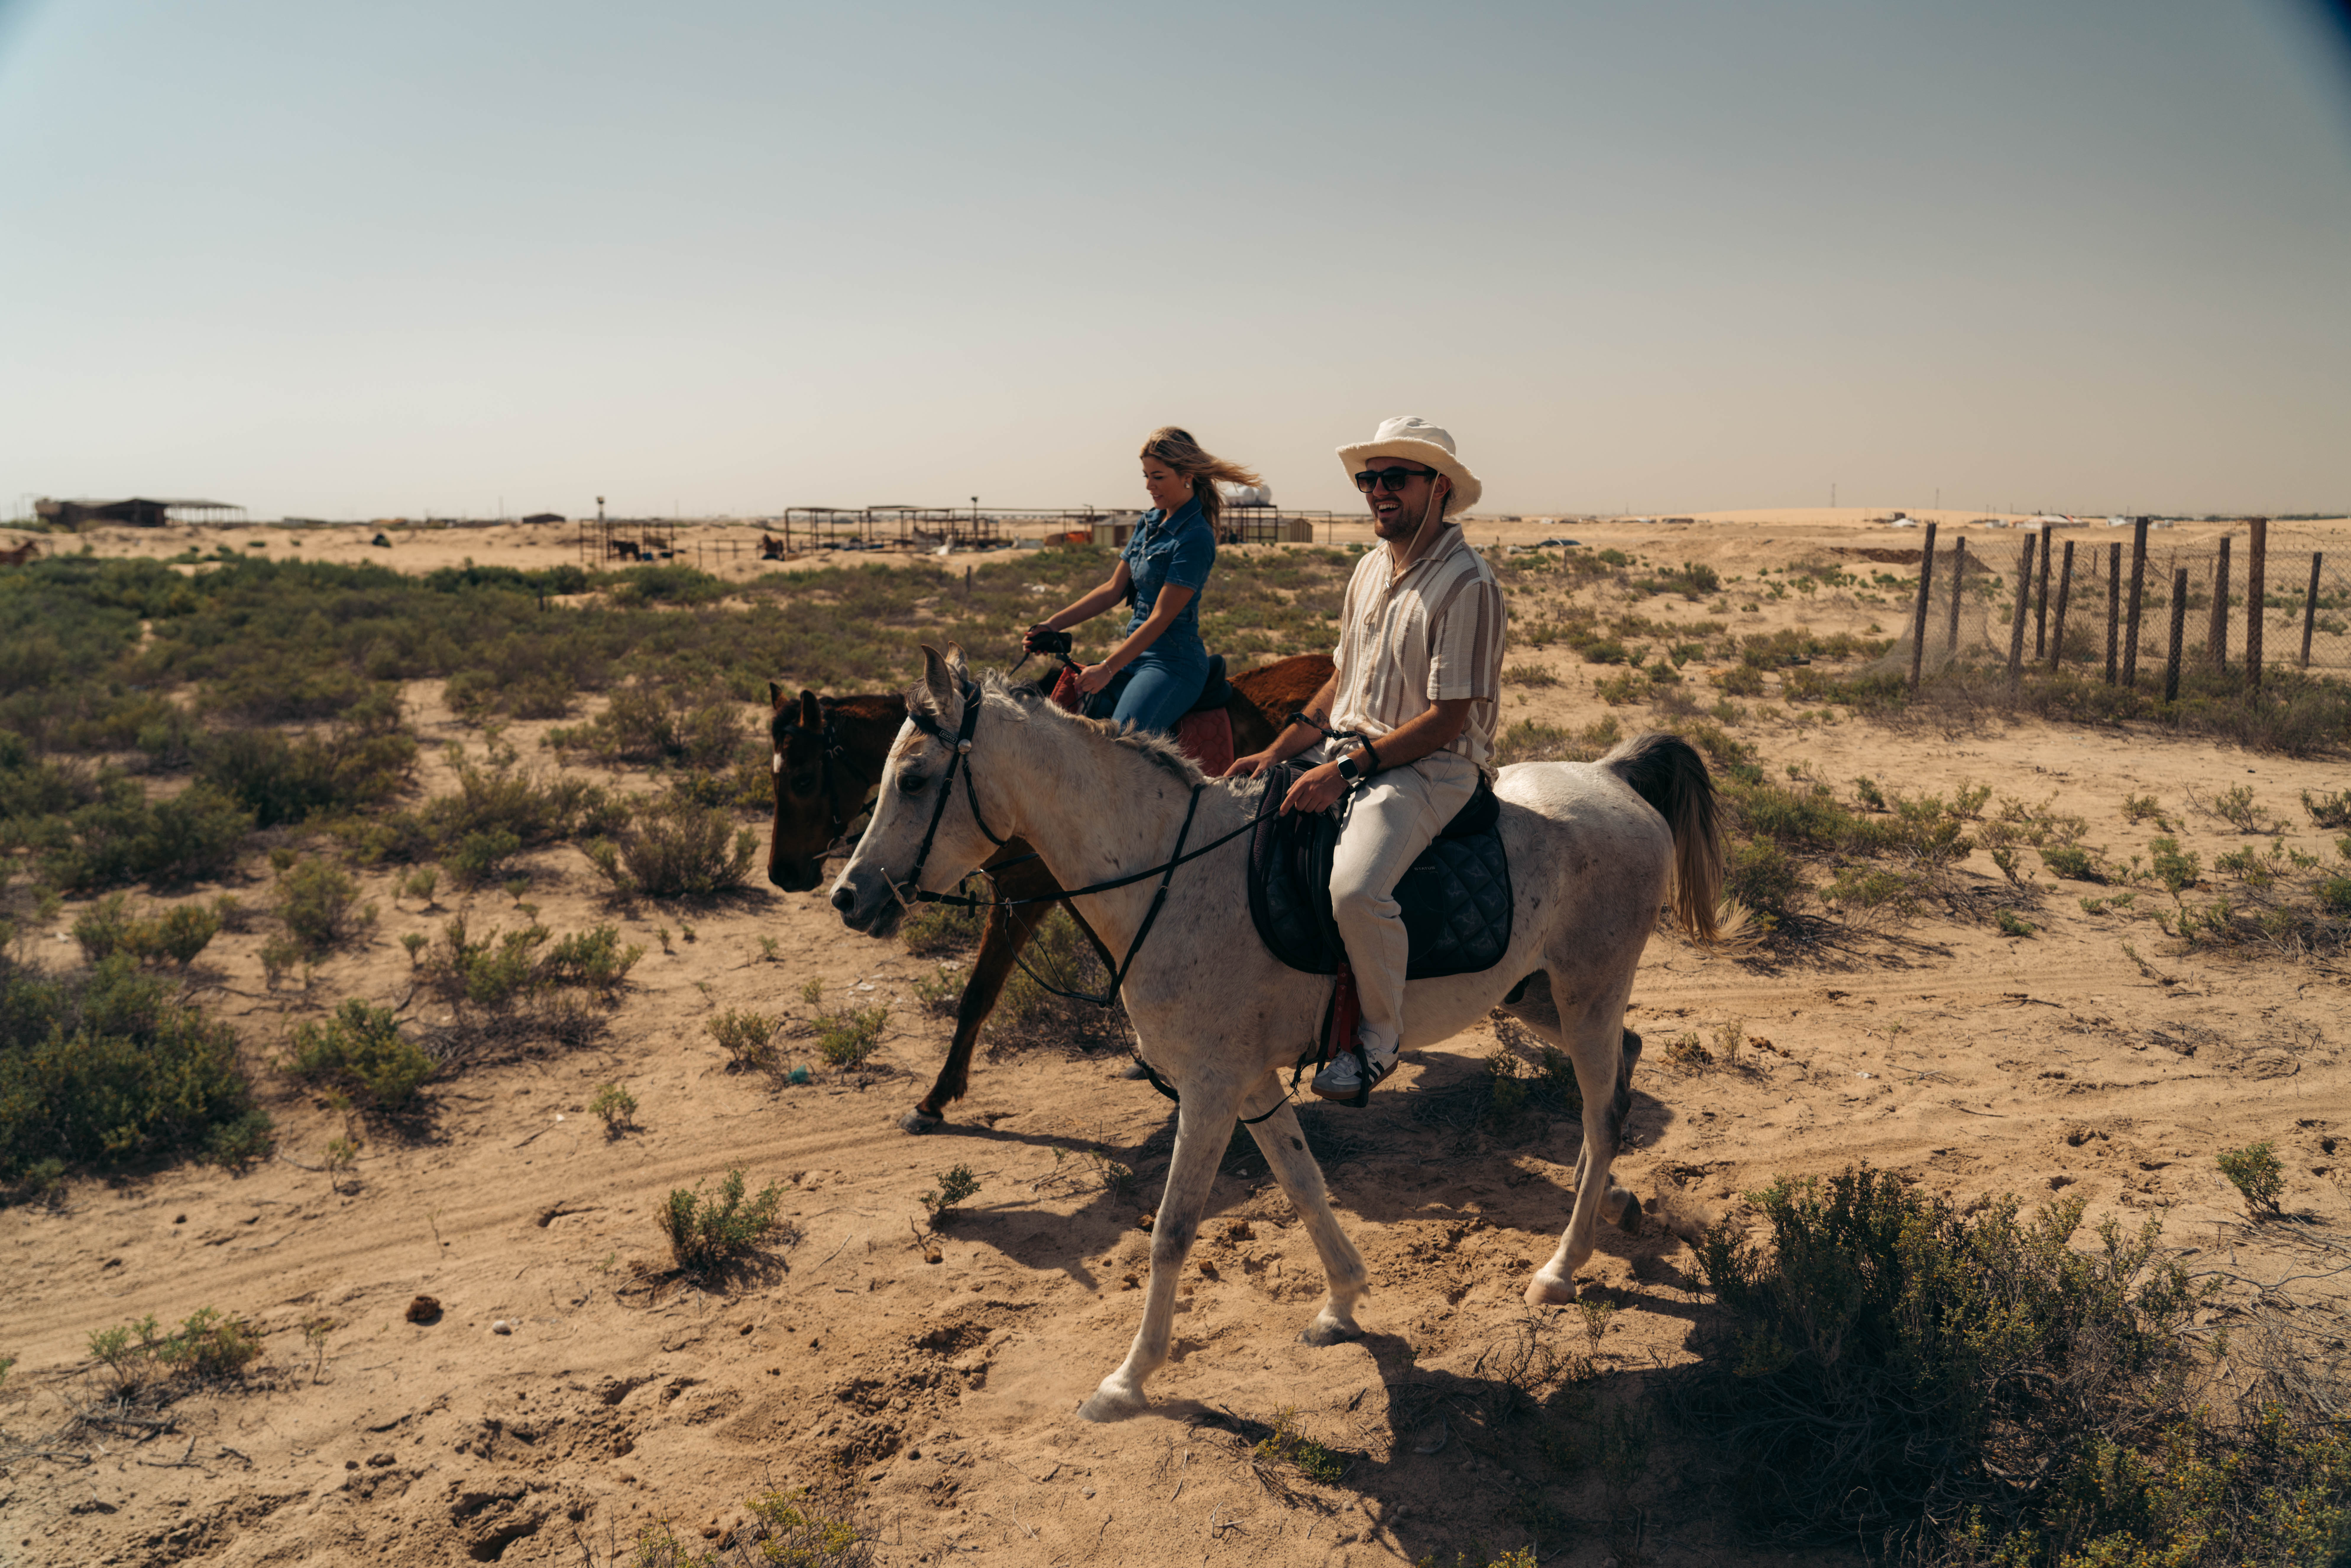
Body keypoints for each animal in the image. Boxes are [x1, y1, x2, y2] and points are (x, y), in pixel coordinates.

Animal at [765, 651, 1334, 1130]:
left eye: (802, 778)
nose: (783, 874)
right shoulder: (1076, 893)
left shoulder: (1027, 895)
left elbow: (977, 995)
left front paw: (933, 1100)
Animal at [831, 645, 1721, 1422]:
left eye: (914, 779)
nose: (847, 897)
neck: (1173, 873)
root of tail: (1611, 778)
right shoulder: (1252, 1082)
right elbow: (1303, 1184)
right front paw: (1343, 1302)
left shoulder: (1211, 1086)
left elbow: (1173, 1230)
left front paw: (1128, 1380)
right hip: (1538, 997)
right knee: (1622, 1071)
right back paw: (1609, 1201)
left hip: (1586, 991)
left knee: (1603, 1111)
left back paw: (1562, 1265)